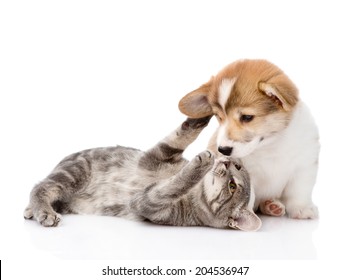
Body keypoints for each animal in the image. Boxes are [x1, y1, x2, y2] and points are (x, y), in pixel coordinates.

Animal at [22, 117, 260, 231]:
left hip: (73, 174)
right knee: (41, 187)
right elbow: (182, 133)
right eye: (239, 165)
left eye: (232, 186)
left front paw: (199, 164)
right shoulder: (161, 153)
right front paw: (202, 115)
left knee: (40, 187)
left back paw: (44, 213)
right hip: (73, 173)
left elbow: (171, 186)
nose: (228, 161)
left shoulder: (148, 203)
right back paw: (35, 210)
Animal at [179, 59, 318, 219]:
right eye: (219, 117)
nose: (223, 150)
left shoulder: (304, 166)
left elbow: (298, 192)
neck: (271, 145)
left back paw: (272, 206)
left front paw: (302, 209)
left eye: (247, 117)